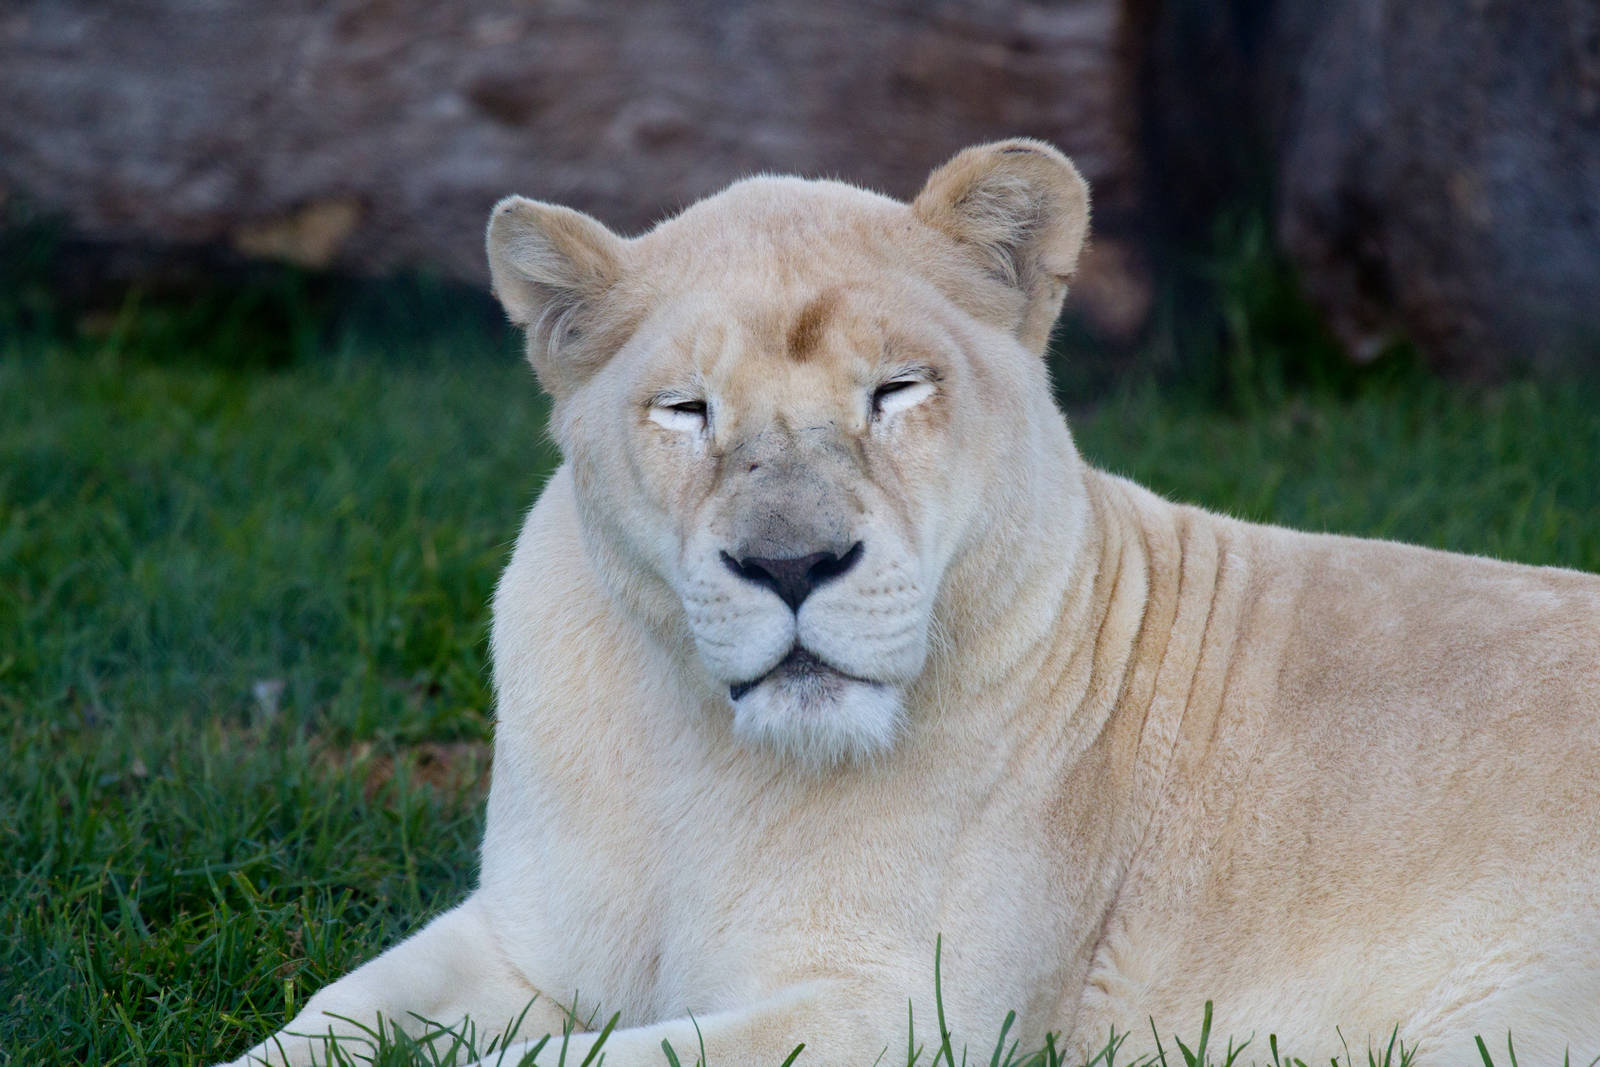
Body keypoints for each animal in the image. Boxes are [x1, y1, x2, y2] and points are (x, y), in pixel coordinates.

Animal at [216, 140, 1600, 1067]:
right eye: (687, 410)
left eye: (894, 389)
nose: (791, 565)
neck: (699, 762)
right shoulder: (523, 937)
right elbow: (328, 1016)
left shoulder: (900, 1012)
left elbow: (579, 1059)